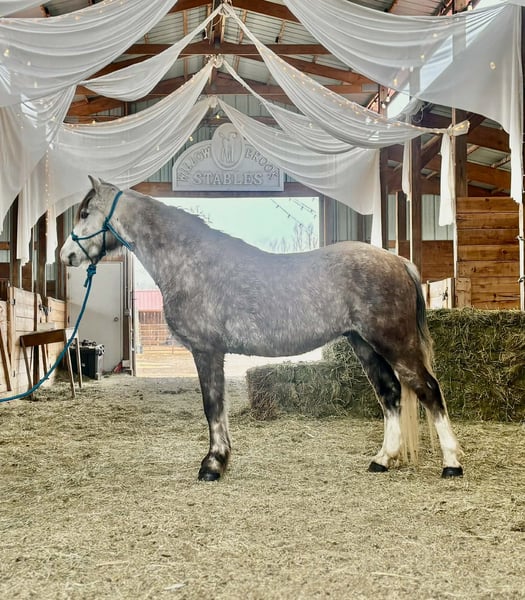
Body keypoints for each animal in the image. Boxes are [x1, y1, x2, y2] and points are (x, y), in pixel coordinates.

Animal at [60, 177, 463, 481]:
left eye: (85, 213)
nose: (66, 255)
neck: (190, 263)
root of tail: (398, 261)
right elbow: (217, 407)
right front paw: (220, 459)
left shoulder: (207, 350)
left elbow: (212, 406)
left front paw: (213, 464)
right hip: (364, 344)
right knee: (390, 394)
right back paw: (382, 460)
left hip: (394, 342)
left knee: (428, 390)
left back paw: (452, 464)